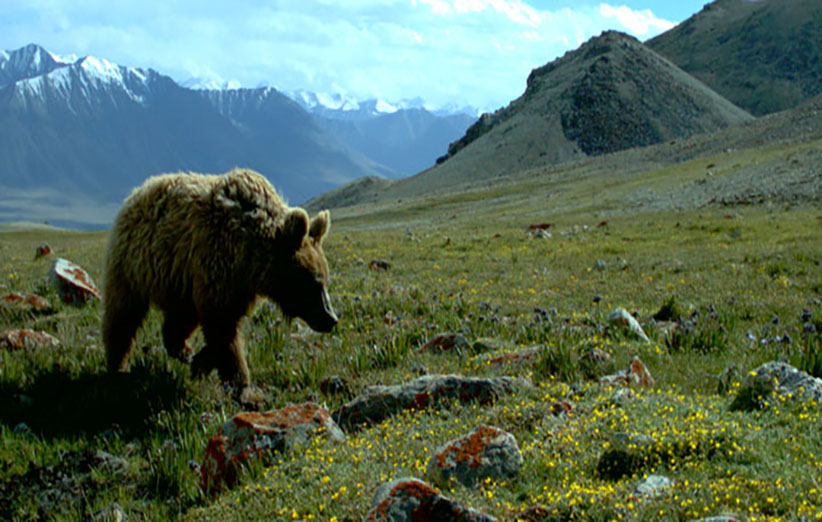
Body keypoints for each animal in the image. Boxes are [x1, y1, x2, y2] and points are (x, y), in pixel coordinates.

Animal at [102, 167, 338, 398]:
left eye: (325, 280)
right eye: (313, 282)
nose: (331, 318)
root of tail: (136, 192)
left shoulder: (238, 285)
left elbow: (222, 328)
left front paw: (200, 362)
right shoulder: (219, 265)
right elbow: (223, 328)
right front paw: (242, 385)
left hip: (179, 278)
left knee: (180, 317)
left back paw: (182, 349)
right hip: (133, 266)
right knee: (124, 314)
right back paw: (118, 365)